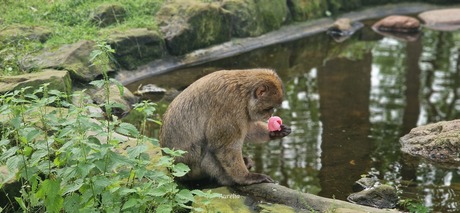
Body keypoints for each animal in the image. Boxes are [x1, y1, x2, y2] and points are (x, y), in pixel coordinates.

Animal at [160, 68, 292, 185]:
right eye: (269, 108)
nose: (271, 114)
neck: (244, 94)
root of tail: (170, 168)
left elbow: (247, 130)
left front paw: (275, 132)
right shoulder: (231, 106)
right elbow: (225, 148)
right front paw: (246, 178)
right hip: (191, 169)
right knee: (208, 149)